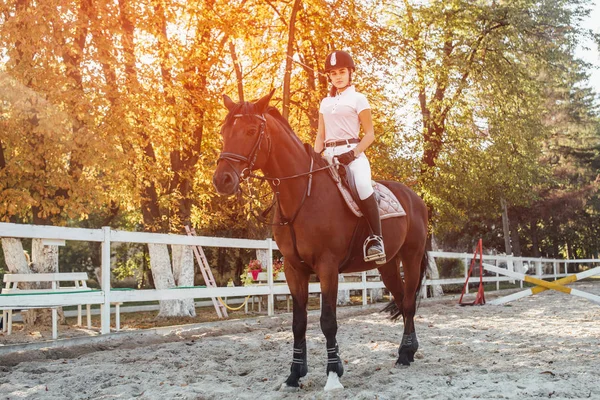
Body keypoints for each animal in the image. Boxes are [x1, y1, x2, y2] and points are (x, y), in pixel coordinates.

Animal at [213, 90, 428, 390]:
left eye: (251, 130)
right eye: (224, 131)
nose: (222, 180)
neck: (302, 194)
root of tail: (414, 197)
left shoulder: (327, 267)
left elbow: (327, 321)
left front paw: (333, 374)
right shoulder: (294, 268)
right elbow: (299, 323)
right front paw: (294, 374)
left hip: (411, 257)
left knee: (408, 302)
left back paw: (406, 354)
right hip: (387, 265)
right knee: (401, 299)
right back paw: (406, 351)